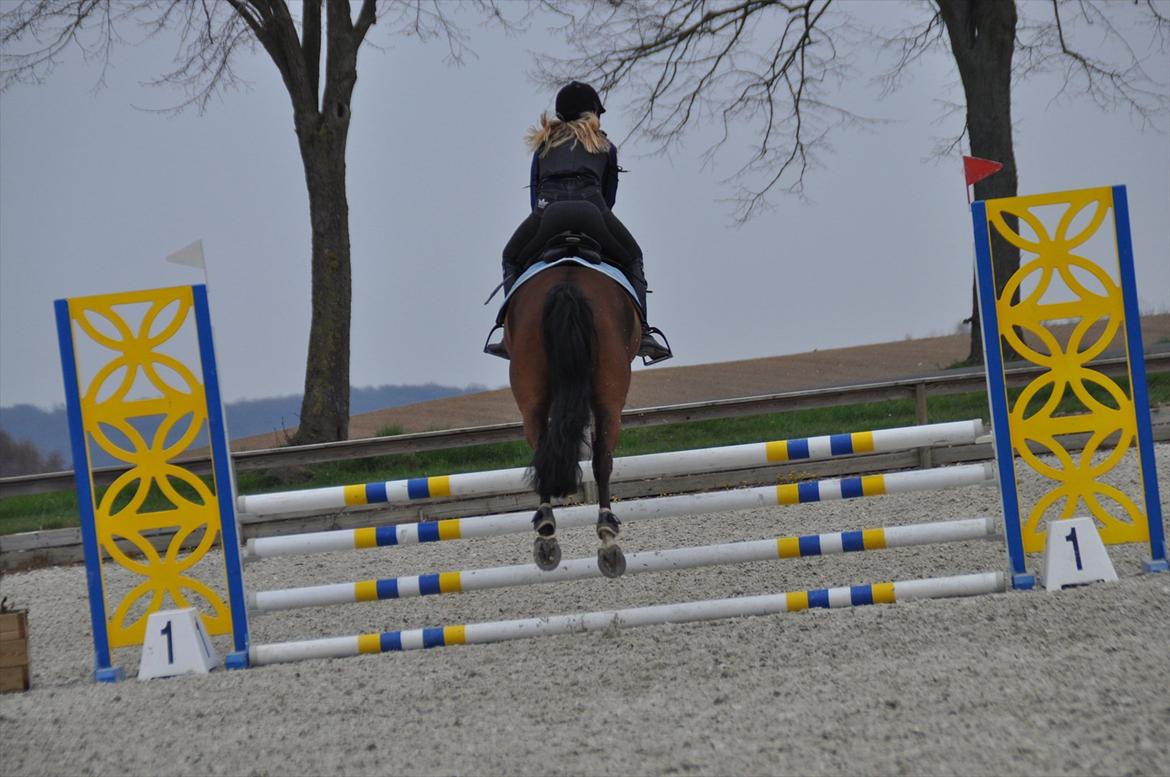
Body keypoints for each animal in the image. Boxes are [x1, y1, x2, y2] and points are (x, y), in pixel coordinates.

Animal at [504, 255, 641, 579]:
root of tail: (568, 284)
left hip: (532, 395)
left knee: (544, 451)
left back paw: (547, 530)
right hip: (611, 396)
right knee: (602, 460)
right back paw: (606, 536)